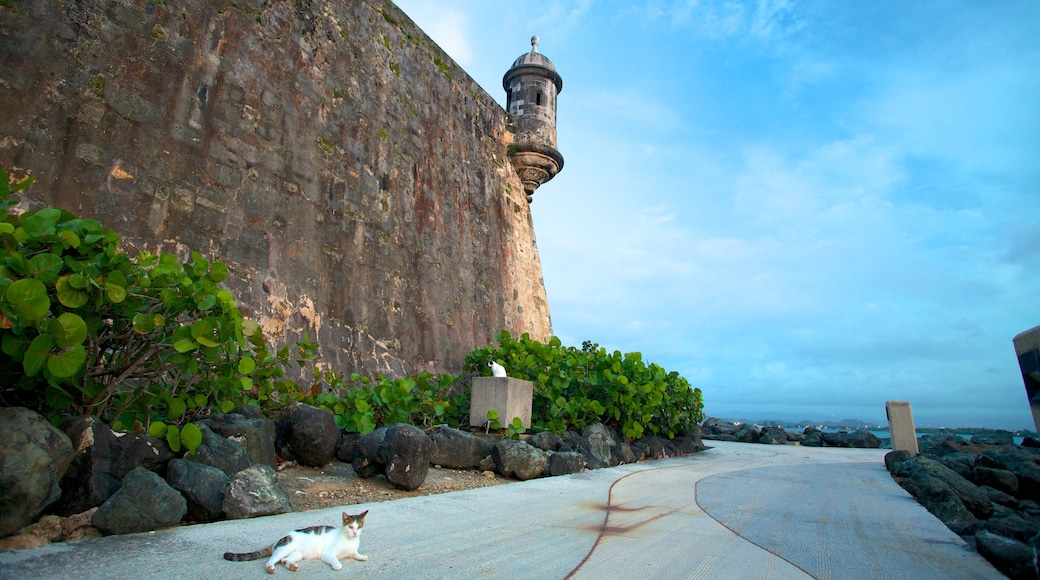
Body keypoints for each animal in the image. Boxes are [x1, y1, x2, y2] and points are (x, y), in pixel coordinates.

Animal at [223, 511, 370, 573]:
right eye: (350, 527)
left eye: (359, 526)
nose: (355, 533)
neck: (349, 540)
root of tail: (279, 539)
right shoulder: (327, 554)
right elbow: (335, 559)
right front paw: (337, 565)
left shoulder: (352, 551)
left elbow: (355, 554)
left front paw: (361, 556)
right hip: (285, 548)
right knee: (271, 560)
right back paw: (271, 568)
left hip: (298, 554)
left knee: (284, 560)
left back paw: (292, 566)